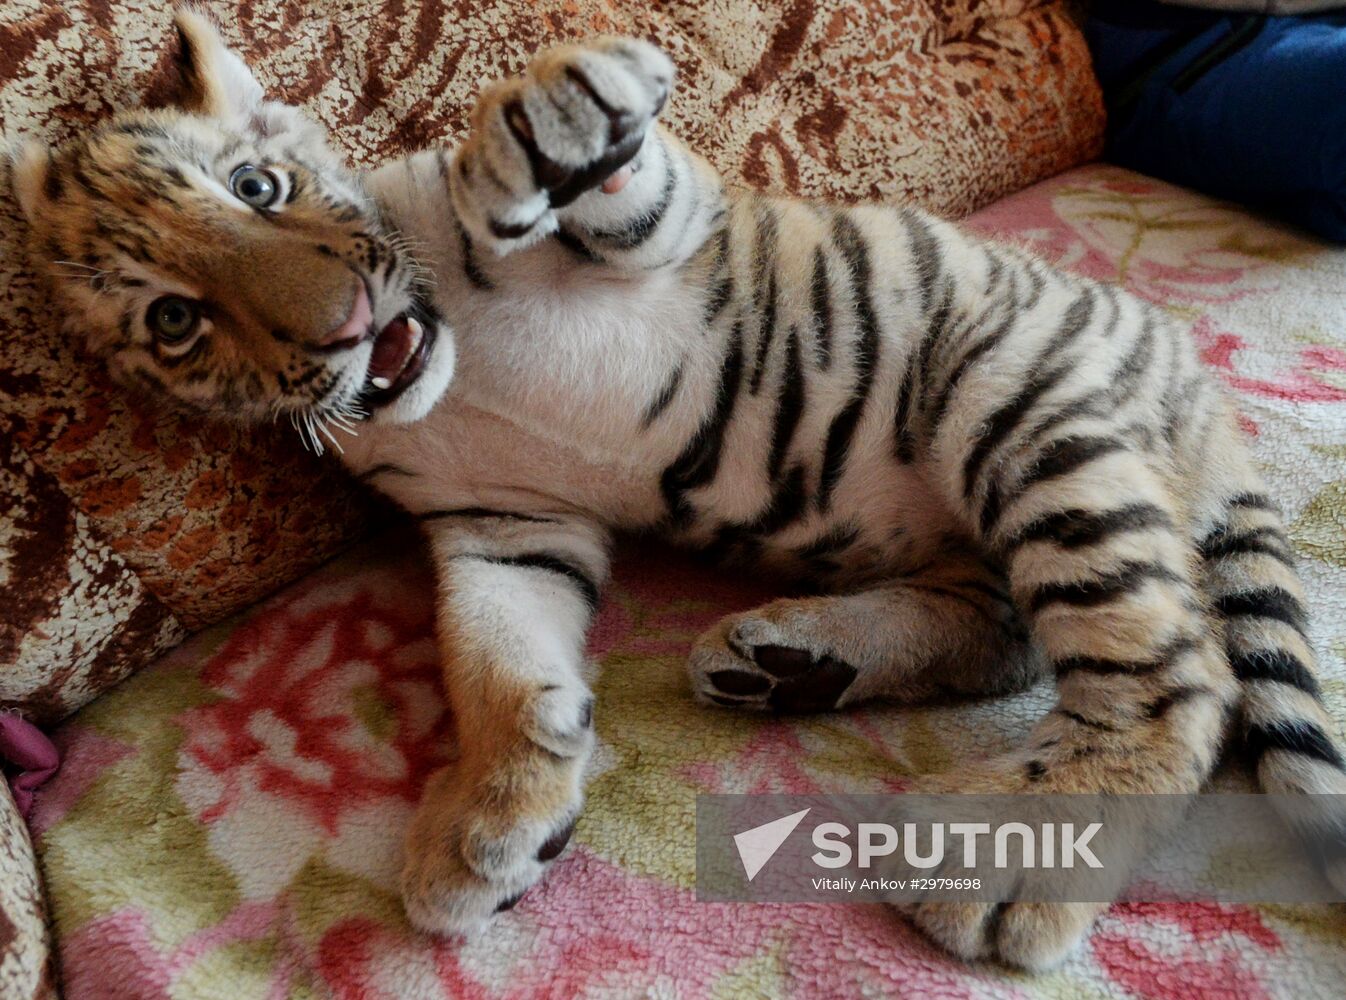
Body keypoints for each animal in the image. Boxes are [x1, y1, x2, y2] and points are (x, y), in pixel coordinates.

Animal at [12, 6, 1346, 970]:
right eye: (175, 320)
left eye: (257, 187)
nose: (342, 327)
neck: (441, 375)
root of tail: (1201, 394)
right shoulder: (503, 523)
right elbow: (491, 658)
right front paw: (486, 823)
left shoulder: (668, 231)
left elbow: (598, 174)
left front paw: (557, 107)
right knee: (1015, 627)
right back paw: (795, 665)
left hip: (1016, 398)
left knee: (1176, 670)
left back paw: (1000, 863)